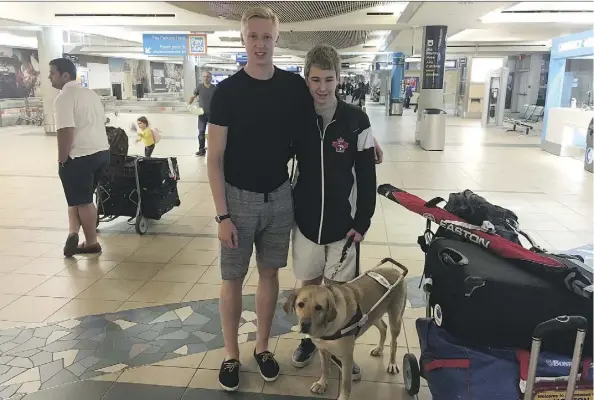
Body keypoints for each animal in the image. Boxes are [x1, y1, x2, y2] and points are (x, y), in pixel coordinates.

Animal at [284, 262, 408, 400]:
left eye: (318, 307)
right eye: (300, 304)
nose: (304, 325)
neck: (327, 327)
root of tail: (395, 270)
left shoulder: (346, 358)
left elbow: (345, 383)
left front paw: (342, 396)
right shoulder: (323, 350)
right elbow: (325, 369)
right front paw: (322, 384)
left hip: (395, 318)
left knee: (394, 342)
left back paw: (392, 363)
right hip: (373, 316)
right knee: (383, 327)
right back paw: (379, 349)